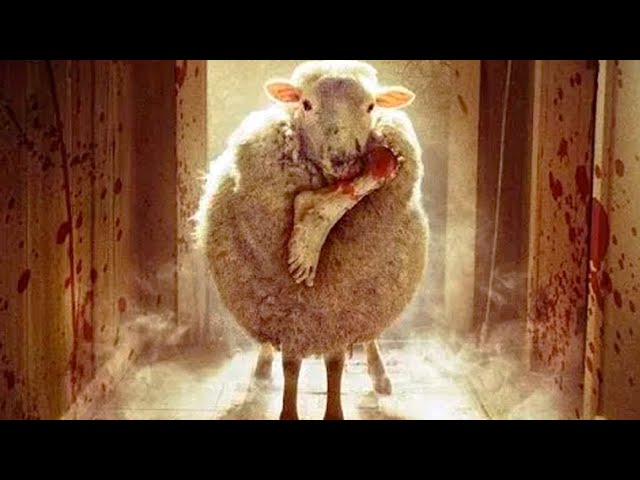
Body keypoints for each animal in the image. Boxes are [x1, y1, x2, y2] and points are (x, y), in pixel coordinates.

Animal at [194, 60, 429, 420]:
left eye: (370, 106)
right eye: (306, 104)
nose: (344, 160)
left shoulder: (335, 312)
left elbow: (335, 364)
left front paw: (334, 411)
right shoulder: (293, 312)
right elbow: (291, 366)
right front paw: (287, 409)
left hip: (369, 297)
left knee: (370, 337)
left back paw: (381, 377)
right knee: (270, 347)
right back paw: (261, 372)